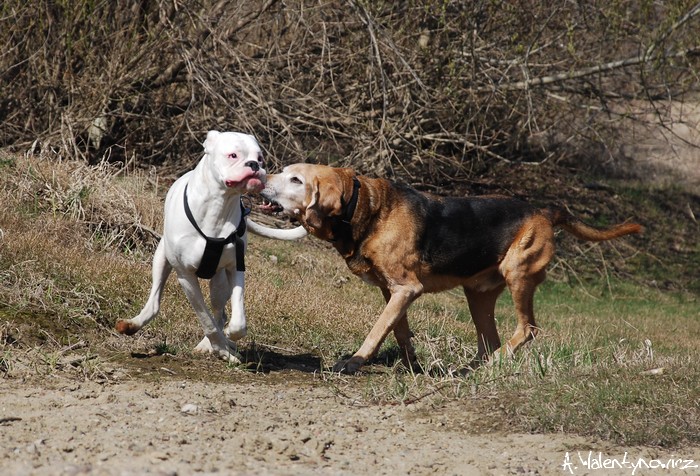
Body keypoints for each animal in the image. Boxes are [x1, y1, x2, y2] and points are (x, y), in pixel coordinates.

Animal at [115, 130, 306, 360]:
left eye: (260, 158)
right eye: (233, 155)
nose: (253, 165)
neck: (218, 207)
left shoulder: (235, 268)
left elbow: (237, 322)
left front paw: (227, 341)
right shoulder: (186, 277)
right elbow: (206, 320)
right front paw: (221, 346)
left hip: (219, 283)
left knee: (219, 313)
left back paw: (218, 345)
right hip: (161, 259)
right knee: (156, 302)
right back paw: (134, 324)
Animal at [260, 164, 644, 376]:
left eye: (296, 180)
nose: (260, 176)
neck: (361, 205)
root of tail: (545, 212)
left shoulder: (406, 289)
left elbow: (377, 329)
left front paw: (354, 362)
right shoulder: (392, 292)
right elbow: (399, 332)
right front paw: (413, 368)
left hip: (518, 275)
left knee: (528, 330)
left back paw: (498, 363)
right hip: (478, 295)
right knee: (489, 342)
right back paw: (471, 371)